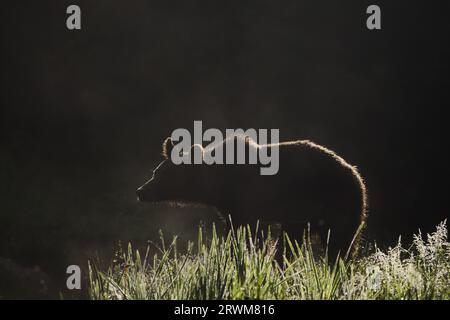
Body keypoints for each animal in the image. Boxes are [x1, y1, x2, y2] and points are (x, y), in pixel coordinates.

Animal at [138, 135, 370, 258]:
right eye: (155, 172)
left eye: (162, 174)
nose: (140, 191)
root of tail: (357, 176)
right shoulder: (231, 208)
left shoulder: (245, 202)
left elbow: (243, 234)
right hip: (307, 217)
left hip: (336, 203)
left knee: (339, 245)